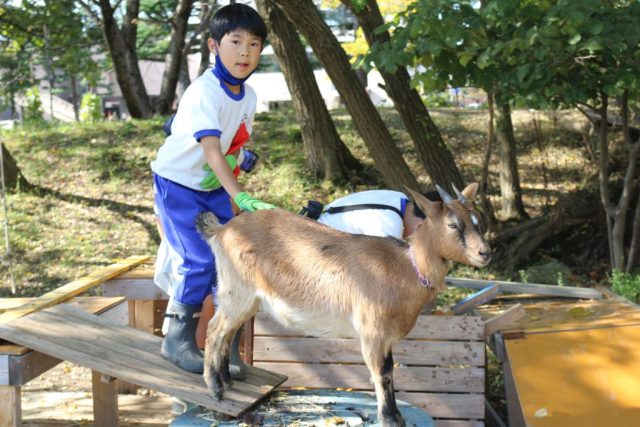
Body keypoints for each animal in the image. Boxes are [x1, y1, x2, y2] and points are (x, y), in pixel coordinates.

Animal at [195, 184, 490, 427]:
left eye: (477, 219)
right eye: (453, 224)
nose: (485, 253)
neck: (405, 268)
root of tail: (221, 230)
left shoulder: (385, 336)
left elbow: (389, 369)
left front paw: (395, 416)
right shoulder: (372, 332)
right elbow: (382, 372)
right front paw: (389, 419)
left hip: (247, 300)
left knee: (227, 333)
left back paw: (227, 381)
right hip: (237, 291)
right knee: (214, 329)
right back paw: (215, 389)